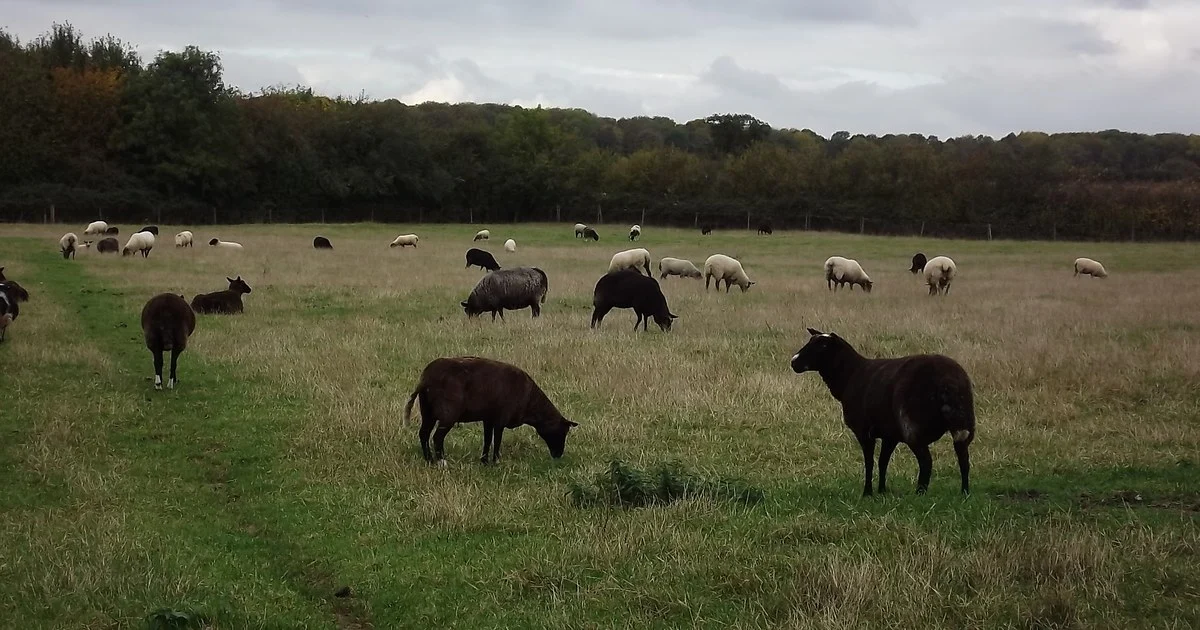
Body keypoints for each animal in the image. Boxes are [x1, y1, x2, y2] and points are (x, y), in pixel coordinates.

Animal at [403, 356, 578, 465]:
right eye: (563, 432)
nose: (558, 455)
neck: (531, 404)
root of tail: (426, 378)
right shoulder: (501, 419)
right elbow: (497, 440)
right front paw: (496, 462)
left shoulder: (488, 418)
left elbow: (487, 440)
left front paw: (484, 461)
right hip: (448, 414)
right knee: (437, 437)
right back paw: (442, 462)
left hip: (427, 411)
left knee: (423, 434)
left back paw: (429, 460)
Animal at [790, 328, 976, 496]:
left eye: (822, 346)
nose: (793, 362)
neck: (849, 375)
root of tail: (948, 380)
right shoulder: (890, 434)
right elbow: (883, 462)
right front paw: (882, 491)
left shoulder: (864, 431)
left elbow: (869, 463)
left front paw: (867, 493)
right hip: (964, 425)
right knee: (964, 460)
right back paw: (964, 493)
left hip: (913, 426)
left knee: (926, 462)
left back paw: (919, 494)